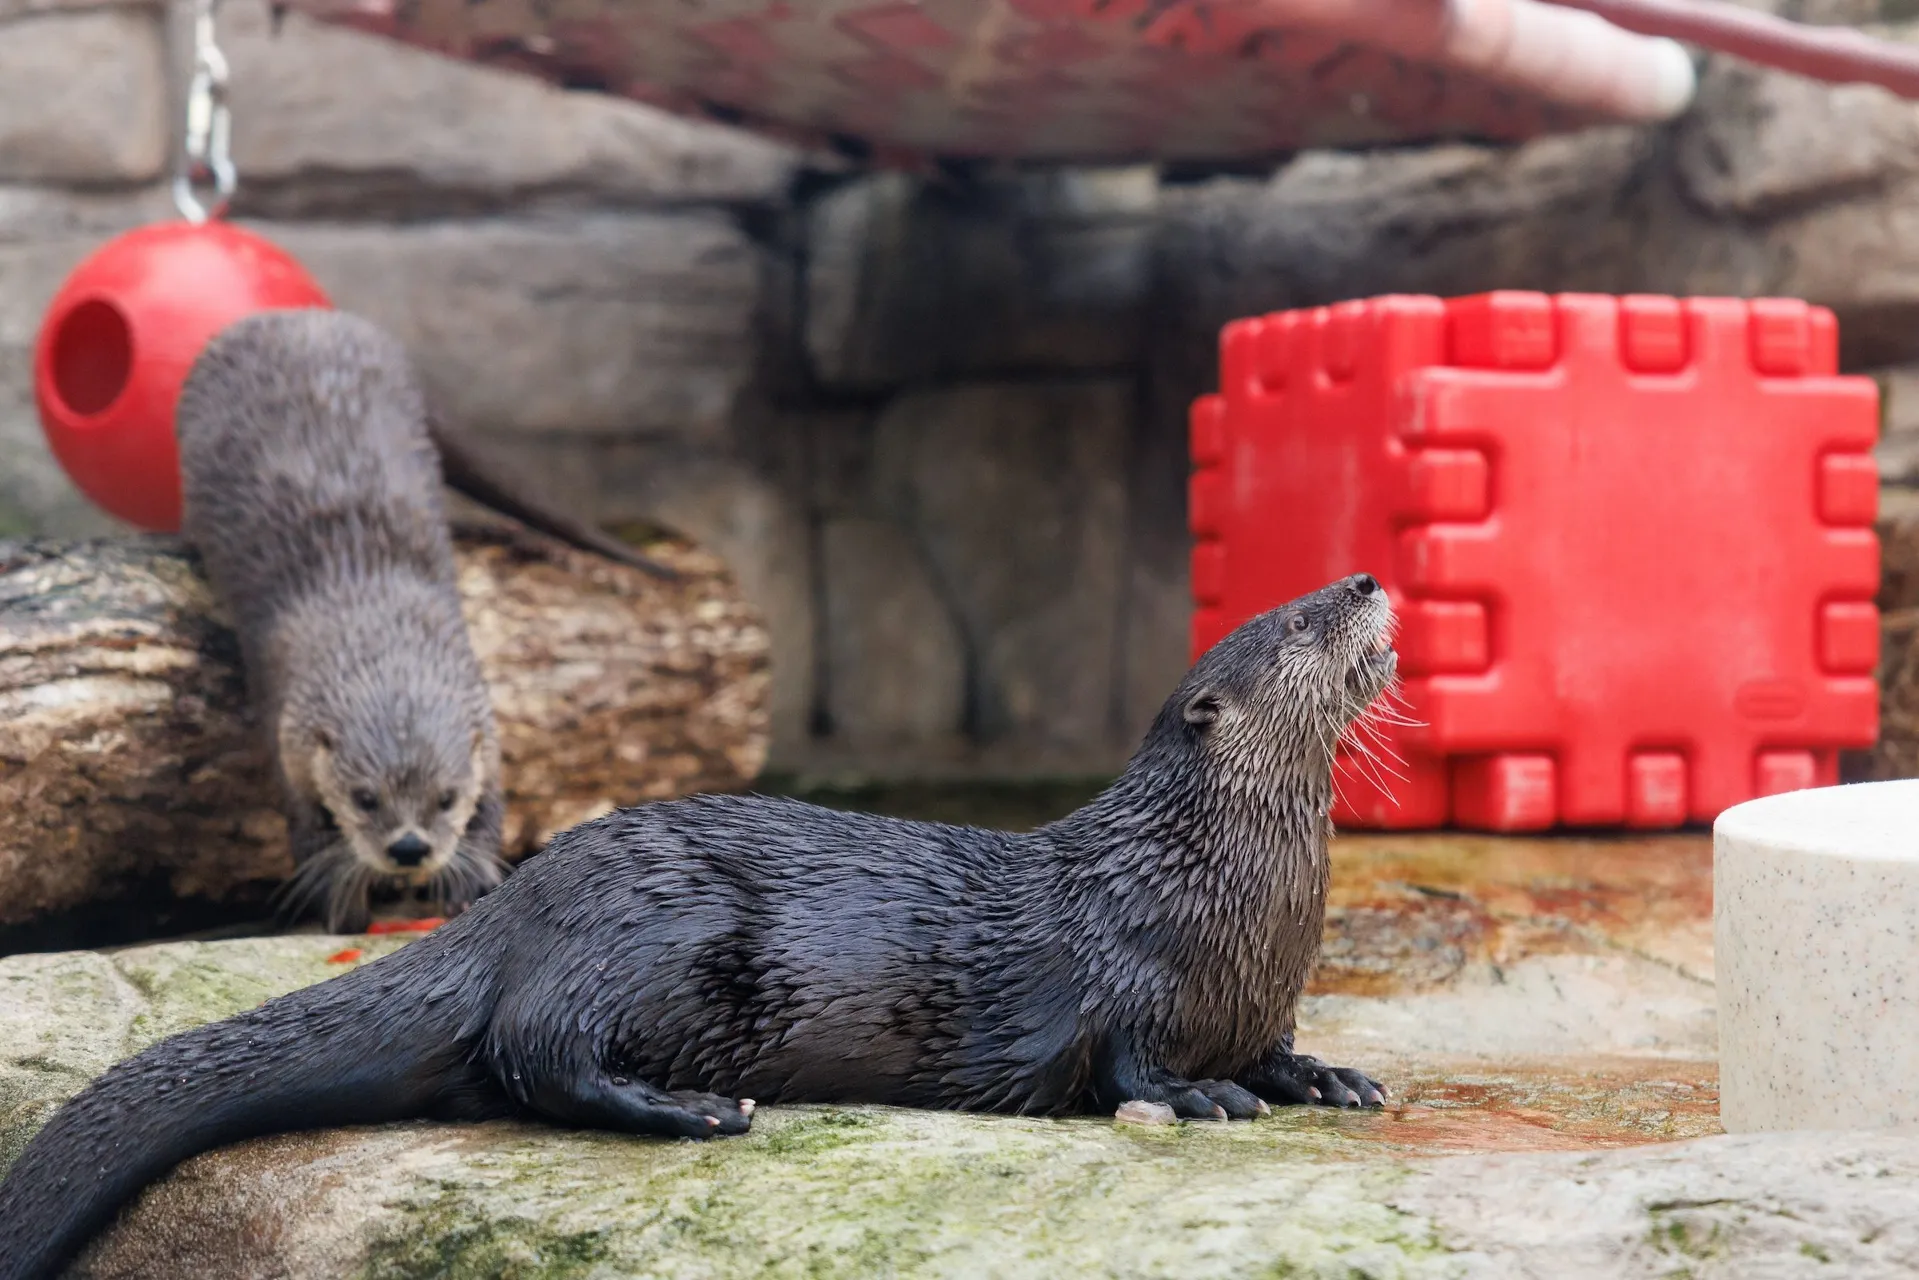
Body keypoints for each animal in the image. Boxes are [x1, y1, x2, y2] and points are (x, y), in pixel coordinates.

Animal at [0, 573, 1394, 1280]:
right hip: (652, 939)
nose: (1368, 576)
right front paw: (1204, 1094)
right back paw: (689, 1109)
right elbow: (1125, 1060)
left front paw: (1326, 1073)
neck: (1225, 890)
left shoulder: (1260, 991)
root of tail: (520, 900)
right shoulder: (1117, 974)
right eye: (1298, 619)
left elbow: (1277, 1046)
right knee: (534, 1053)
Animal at [177, 309, 514, 934]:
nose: (409, 848)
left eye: (448, 797)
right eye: (364, 798)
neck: (376, 609)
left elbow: (493, 802)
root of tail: (300, 318)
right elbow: (309, 825)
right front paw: (343, 899)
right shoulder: (286, 729)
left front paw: (470, 883)